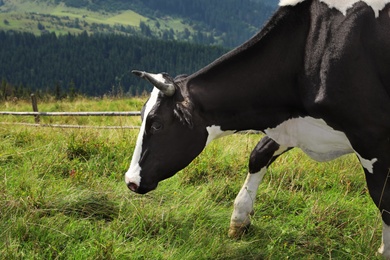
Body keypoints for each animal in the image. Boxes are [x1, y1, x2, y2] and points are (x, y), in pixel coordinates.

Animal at [124, 0, 390, 256]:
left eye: (157, 124)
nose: (130, 181)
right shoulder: (288, 123)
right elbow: (258, 156)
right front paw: (239, 219)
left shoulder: (373, 137)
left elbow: (382, 197)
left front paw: (385, 248)